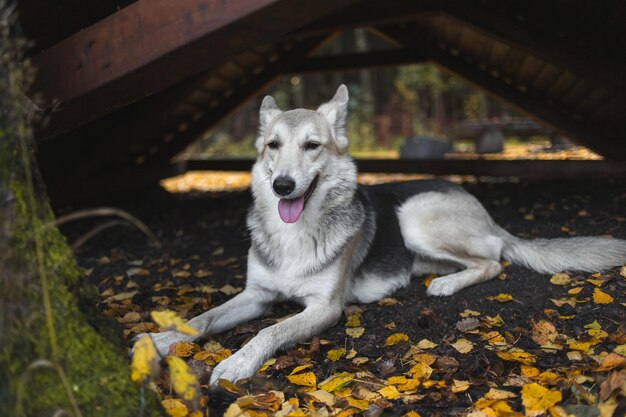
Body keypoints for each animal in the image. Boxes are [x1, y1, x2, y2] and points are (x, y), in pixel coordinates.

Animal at [141, 85, 624, 386]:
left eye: (312, 146)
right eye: (272, 146)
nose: (282, 185)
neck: (294, 233)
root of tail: (478, 204)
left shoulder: (325, 308)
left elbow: (270, 331)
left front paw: (237, 362)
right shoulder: (255, 296)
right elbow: (200, 319)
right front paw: (160, 341)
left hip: (414, 216)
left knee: (491, 260)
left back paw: (446, 284)